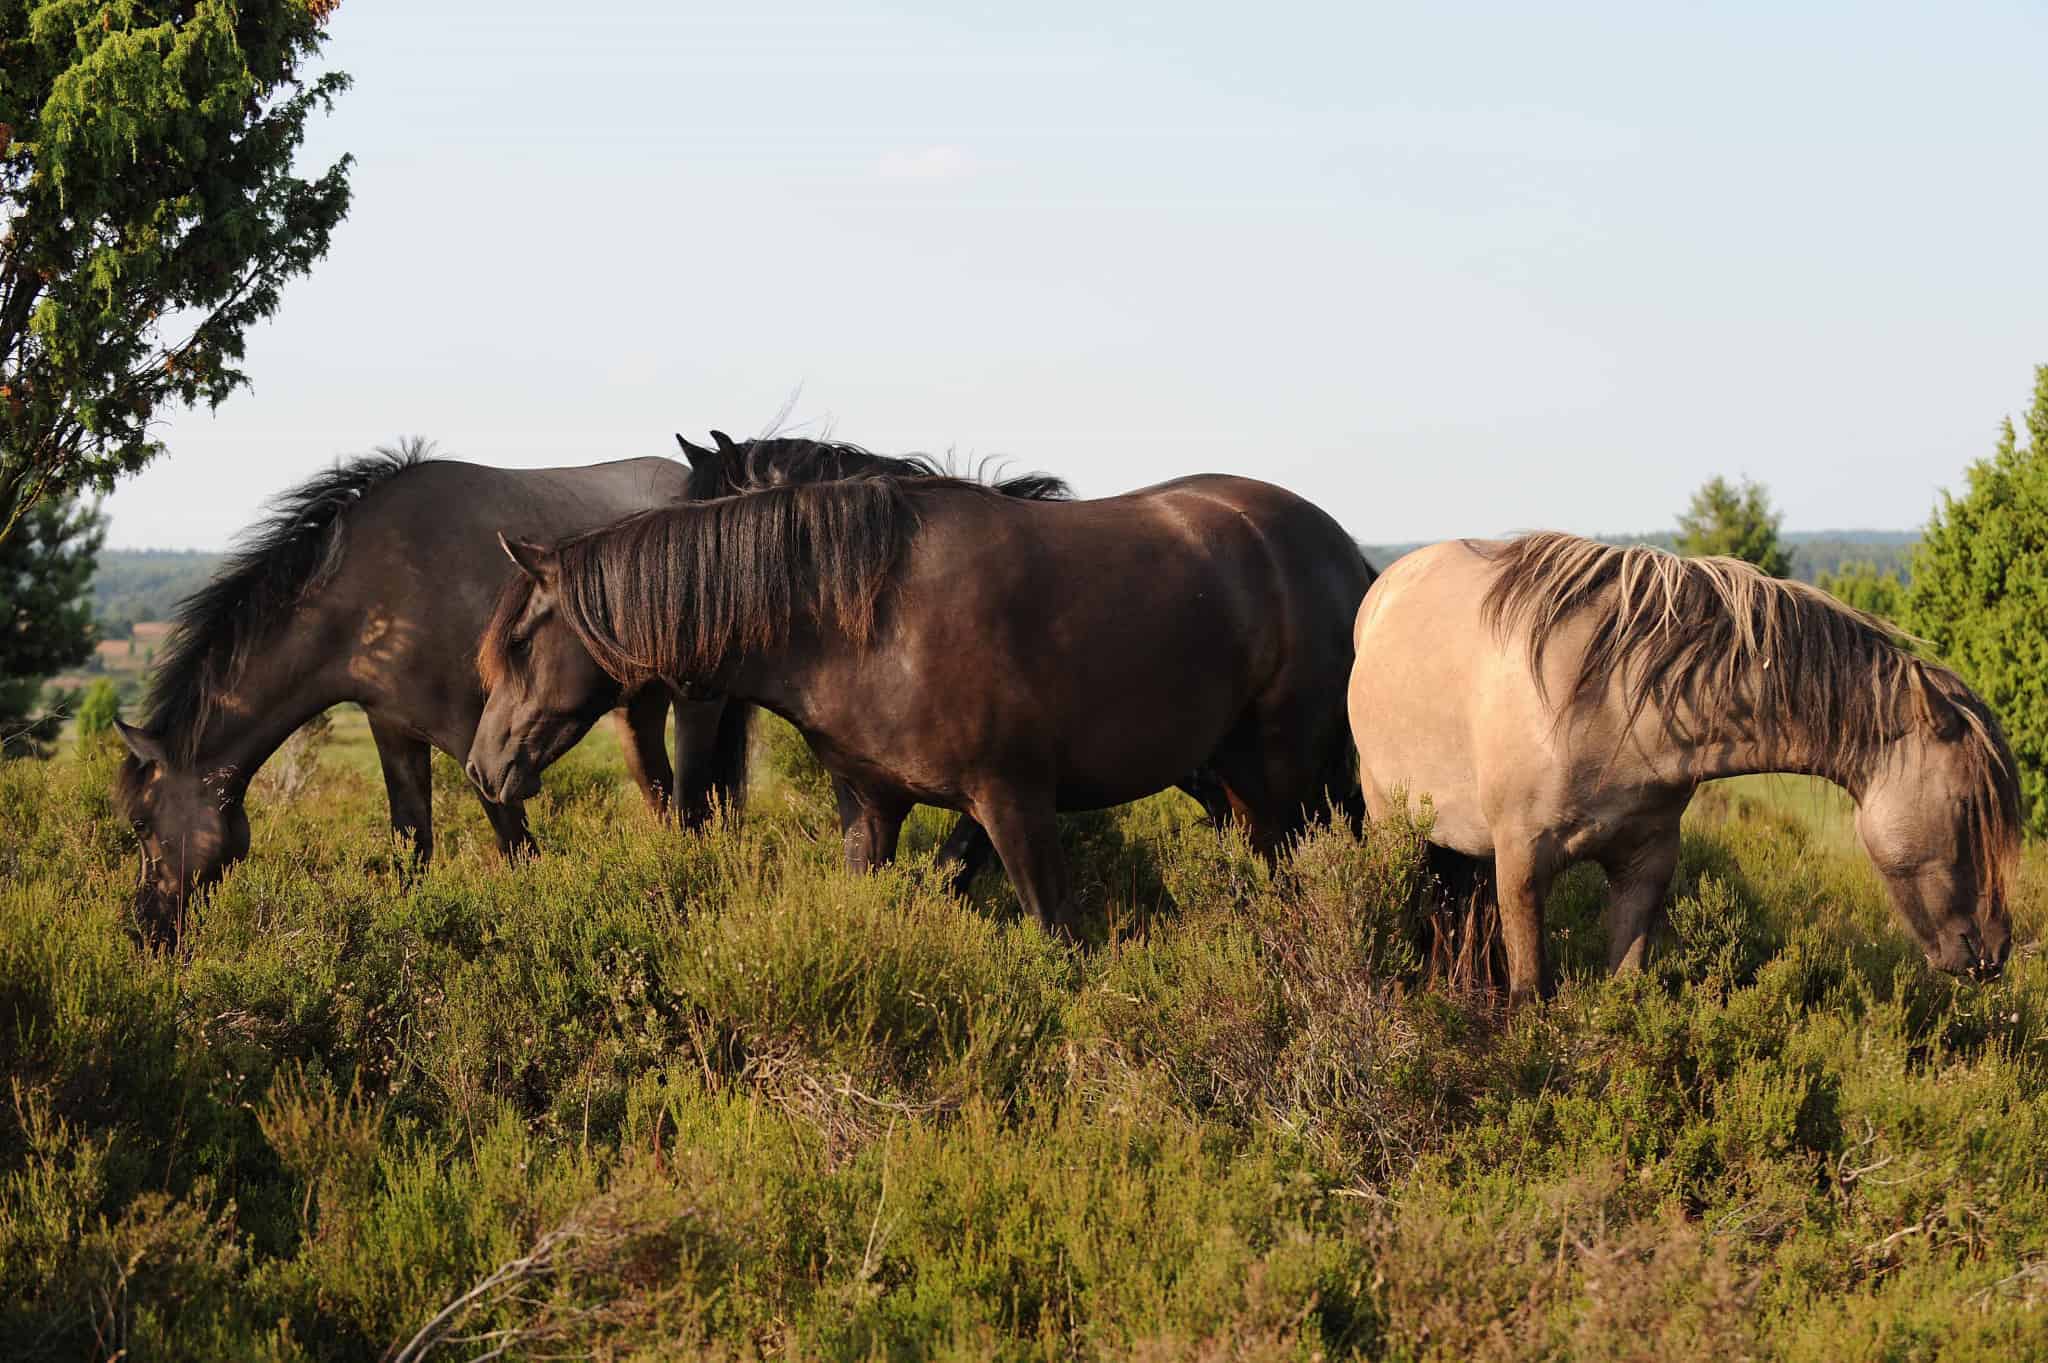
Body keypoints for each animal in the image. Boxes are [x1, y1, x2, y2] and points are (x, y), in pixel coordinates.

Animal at [112, 441, 700, 941]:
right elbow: (412, 844)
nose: (144, 926)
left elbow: (517, 846)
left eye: (140, 822)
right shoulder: (393, 730)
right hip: (638, 709)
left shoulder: (481, 744)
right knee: (661, 794)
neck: (380, 596)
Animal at [469, 473, 1373, 932]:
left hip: (1284, 781)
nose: (483, 768)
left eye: (519, 645)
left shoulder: (1015, 804)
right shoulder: (870, 808)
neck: (865, 620)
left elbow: (1058, 935)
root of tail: (1349, 555)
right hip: (1238, 783)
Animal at [1347, 532, 2021, 1006]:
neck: (1611, 699)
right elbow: (1530, 993)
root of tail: (1386, 589)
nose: (1993, 950)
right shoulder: (1521, 865)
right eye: (1969, 808)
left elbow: (1624, 991)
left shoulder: (1645, 864)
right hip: (1395, 826)